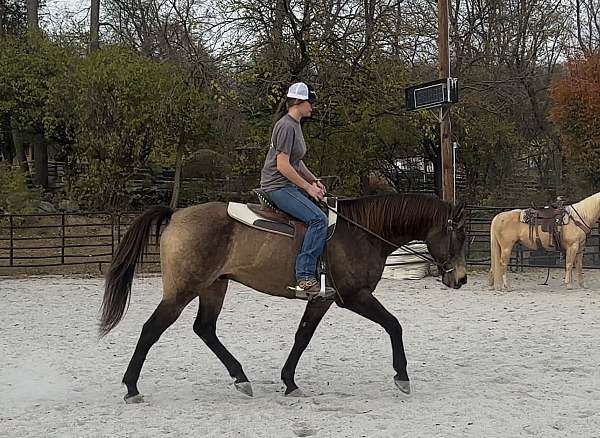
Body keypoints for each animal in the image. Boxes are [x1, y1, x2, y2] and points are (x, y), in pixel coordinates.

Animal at [99, 193, 468, 402]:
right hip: (182, 290)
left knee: (204, 329)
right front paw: (402, 376)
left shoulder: (322, 299)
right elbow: (394, 325)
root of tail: (176, 214)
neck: (361, 232)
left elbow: (302, 336)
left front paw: (289, 381)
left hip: (214, 286)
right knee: (151, 329)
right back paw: (131, 388)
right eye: (460, 236)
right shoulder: (354, 296)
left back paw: (241, 378)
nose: (461, 278)